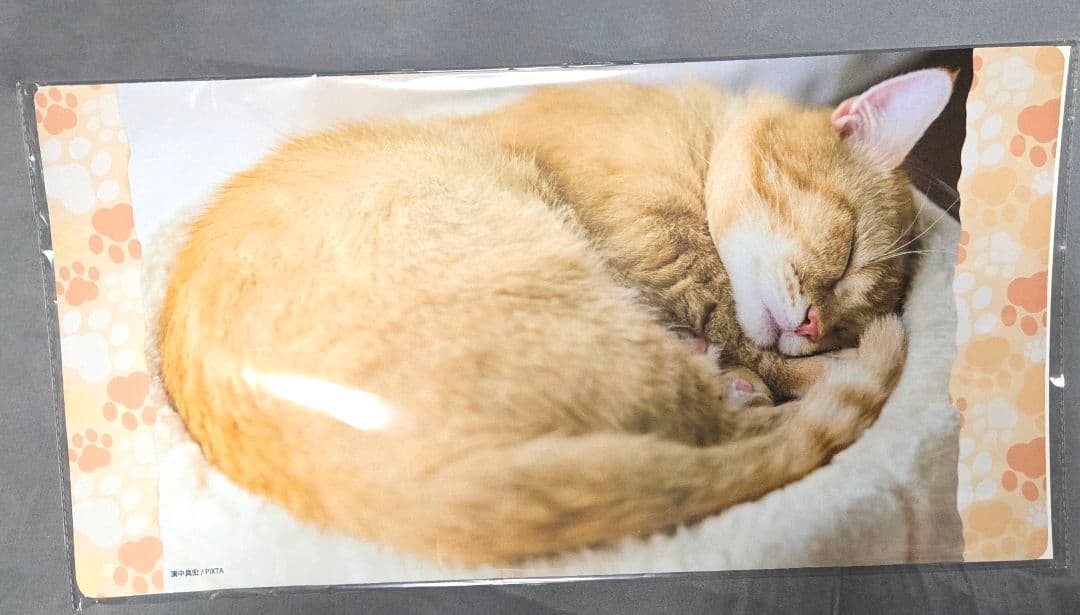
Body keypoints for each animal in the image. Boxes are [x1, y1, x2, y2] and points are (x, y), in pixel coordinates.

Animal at [154, 68, 953, 565]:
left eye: (850, 308)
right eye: (847, 254)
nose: (817, 328)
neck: (697, 141)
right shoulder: (657, 248)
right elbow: (741, 331)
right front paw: (788, 361)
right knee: (729, 426)